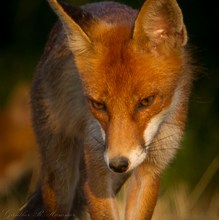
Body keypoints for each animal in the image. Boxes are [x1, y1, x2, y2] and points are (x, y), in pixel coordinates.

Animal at [16, 0, 192, 219]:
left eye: (146, 101)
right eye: (98, 105)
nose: (118, 164)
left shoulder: (151, 169)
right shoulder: (97, 171)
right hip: (60, 179)